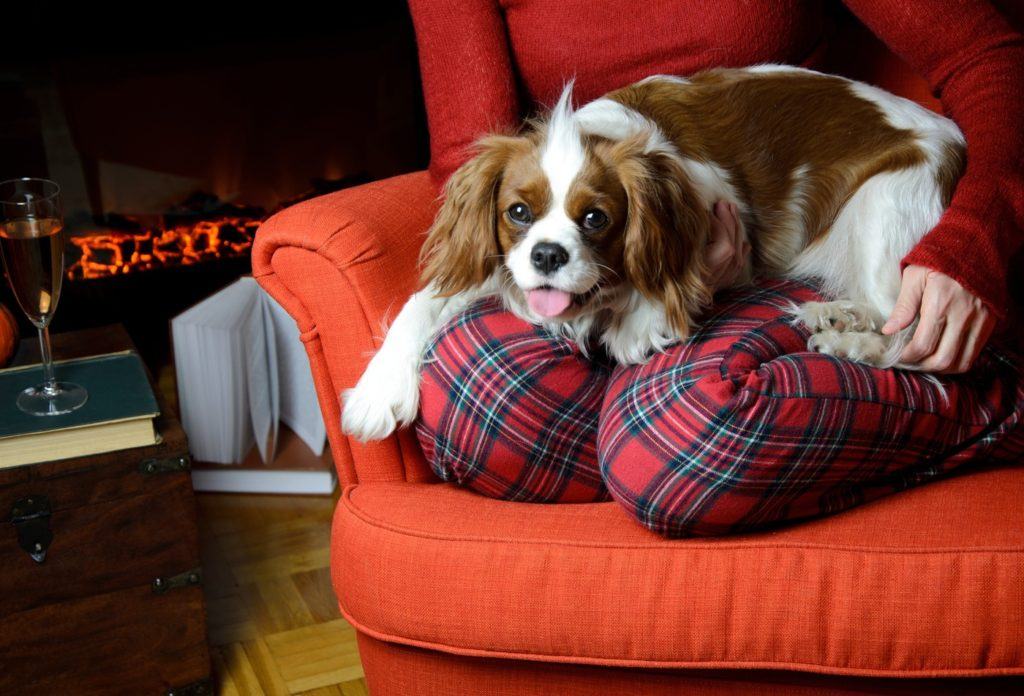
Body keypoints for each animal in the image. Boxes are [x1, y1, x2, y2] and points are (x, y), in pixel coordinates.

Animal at [344, 65, 966, 440]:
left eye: (595, 219)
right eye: (517, 213)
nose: (547, 255)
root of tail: (955, 139)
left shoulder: (718, 210)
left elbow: (668, 275)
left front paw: (637, 320)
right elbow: (422, 303)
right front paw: (378, 392)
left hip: (885, 207)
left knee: (915, 336)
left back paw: (847, 342)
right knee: (882, 313)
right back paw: (834, 315)